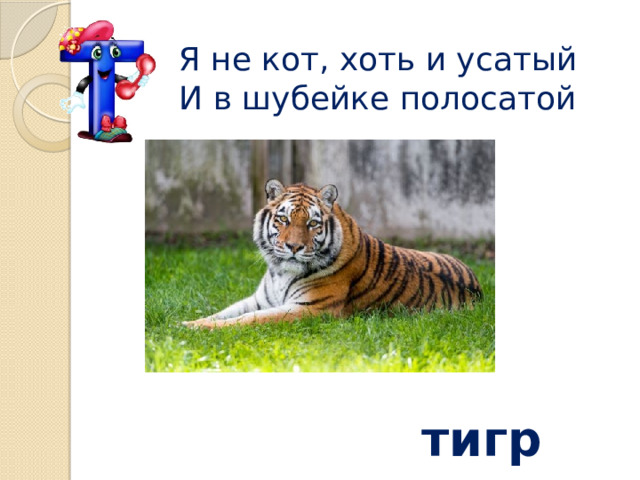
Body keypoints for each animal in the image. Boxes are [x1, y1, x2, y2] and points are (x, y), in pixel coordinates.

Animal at [183, 179, 482, 329]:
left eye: (312, 223)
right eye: (284, 219)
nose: (294, 247)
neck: (281, 271)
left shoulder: (310, 309)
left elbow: (248, 319)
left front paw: (201, 330)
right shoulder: (259, 300)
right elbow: (223, 312)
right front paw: (188, 323)